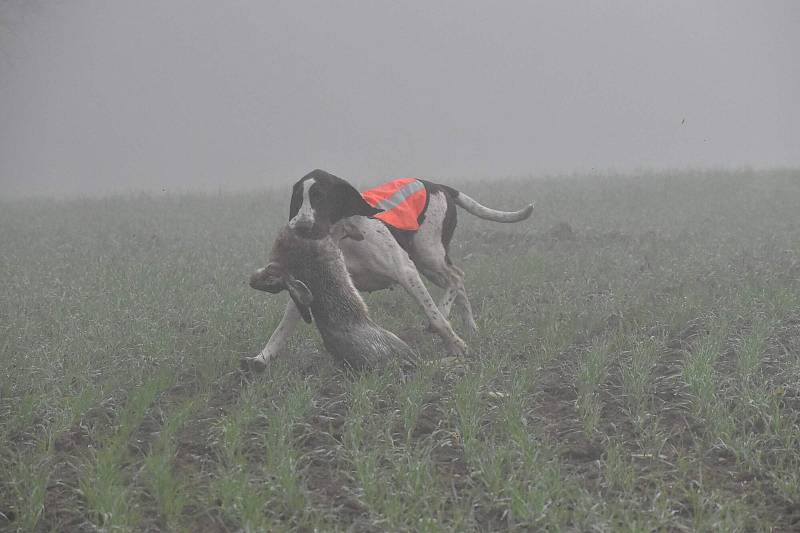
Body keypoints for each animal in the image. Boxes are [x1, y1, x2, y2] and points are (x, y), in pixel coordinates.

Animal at [241, 169, 536, 370]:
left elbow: (434, 315)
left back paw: (448, 316)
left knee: (455, 279)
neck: (343, 237)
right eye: (297, 198)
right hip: (427, 264)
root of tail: (439, 186)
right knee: (459, 283)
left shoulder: (405, 272)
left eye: (319, 197)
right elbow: (281, 330)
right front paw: (261, 358)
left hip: (427, 256)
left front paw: (455, 344)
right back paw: (471, 326)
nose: (299, 226)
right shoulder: (310, 286)